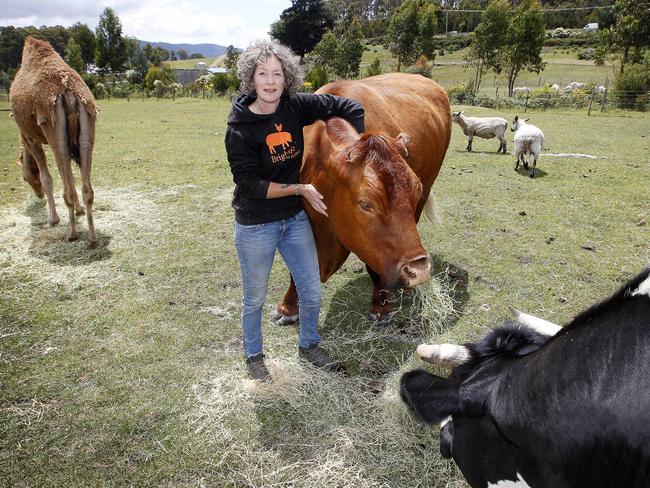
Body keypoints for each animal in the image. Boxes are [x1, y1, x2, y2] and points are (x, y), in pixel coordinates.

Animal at [9, 36, 99, 246]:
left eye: (24, 178)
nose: (38, 195)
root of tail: (69, 92)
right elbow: (69, 176)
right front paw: (79, 210)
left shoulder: (30, 138)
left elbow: (46, 177)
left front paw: (52, 220)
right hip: (87, 127)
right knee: (87, 188)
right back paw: (91, 237)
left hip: (52, 128)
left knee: (67, 189)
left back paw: (71, 234)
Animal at [274, 72, 450, 322]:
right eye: (365, 204)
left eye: (415, 192)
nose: (419, 270)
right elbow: (296, 267)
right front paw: (288, 307)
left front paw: (381, 305)